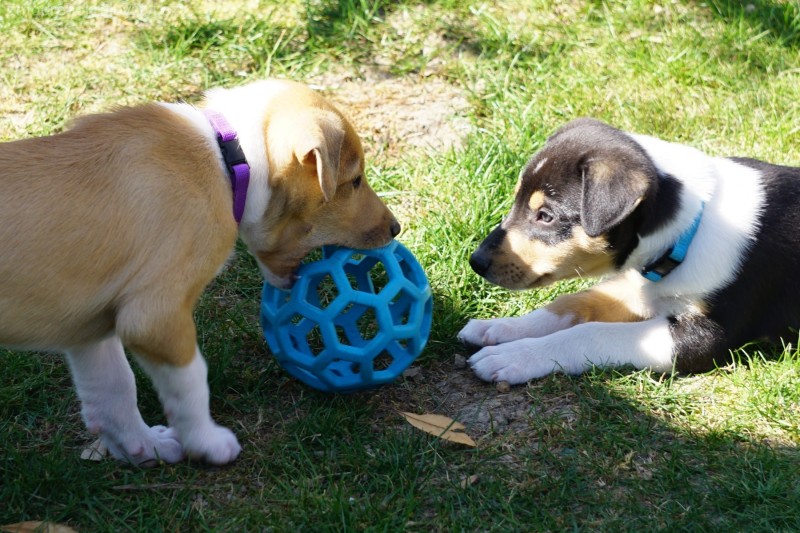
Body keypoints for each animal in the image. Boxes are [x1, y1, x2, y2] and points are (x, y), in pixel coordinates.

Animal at [0, 79, 400, 466]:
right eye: (355, 181)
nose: (396, 229)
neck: (230, 160)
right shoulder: (154, 317)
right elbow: (192, 381)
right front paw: (208, 444)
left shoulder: (89, 329)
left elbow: (114, 389)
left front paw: (144, 448)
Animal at [456, 117, 800, 382]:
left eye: (546, 216)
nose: (475, 261)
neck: (691, 226)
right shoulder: (637, 288)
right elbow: (571, 303)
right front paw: (497, 327)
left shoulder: (708, 337)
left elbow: (592, 332)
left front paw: (510, 357)